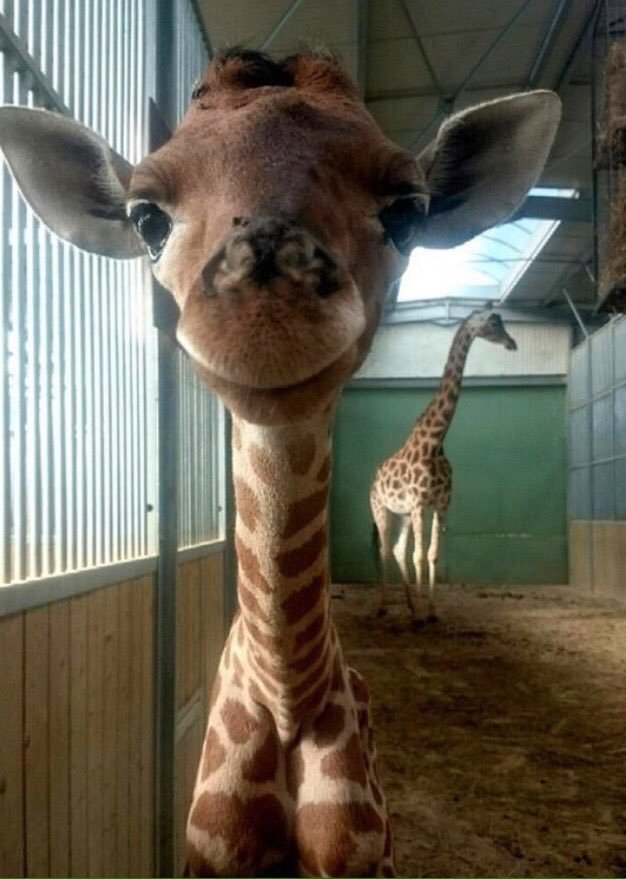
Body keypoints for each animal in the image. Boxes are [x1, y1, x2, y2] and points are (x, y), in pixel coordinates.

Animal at [370, 310, 518, 623]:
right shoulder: (418, 503)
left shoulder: (440, 504)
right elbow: (418, 555)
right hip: (381, 508)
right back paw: (384, 606)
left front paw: (431, 611)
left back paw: (410, 605)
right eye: (494, 322)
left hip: (402, 514)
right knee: (385, 549)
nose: (512, 343)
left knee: (398, 549)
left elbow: (431, 554)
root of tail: (374, 477)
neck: (435, 442)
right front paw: (420, 616)